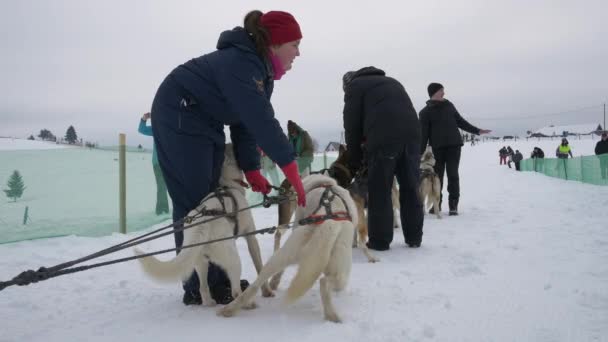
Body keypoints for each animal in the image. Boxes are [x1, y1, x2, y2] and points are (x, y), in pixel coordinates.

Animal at [137, 144, 274, 308]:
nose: (260, 154)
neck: (228, 184)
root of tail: (201, 225)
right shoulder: (251, 236)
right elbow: (260, 268)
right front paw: (267, 291)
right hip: (233, 259)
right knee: (235, 291)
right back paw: (247, 303)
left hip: (200, 262)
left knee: (203, 288)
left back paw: (209, 302)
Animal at [217, 175, 356, 322]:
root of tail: (329, 223)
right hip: (342, 273)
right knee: (324, 283)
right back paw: (332, 316)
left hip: (285, 255)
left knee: (257, 282)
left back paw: (231, 308)